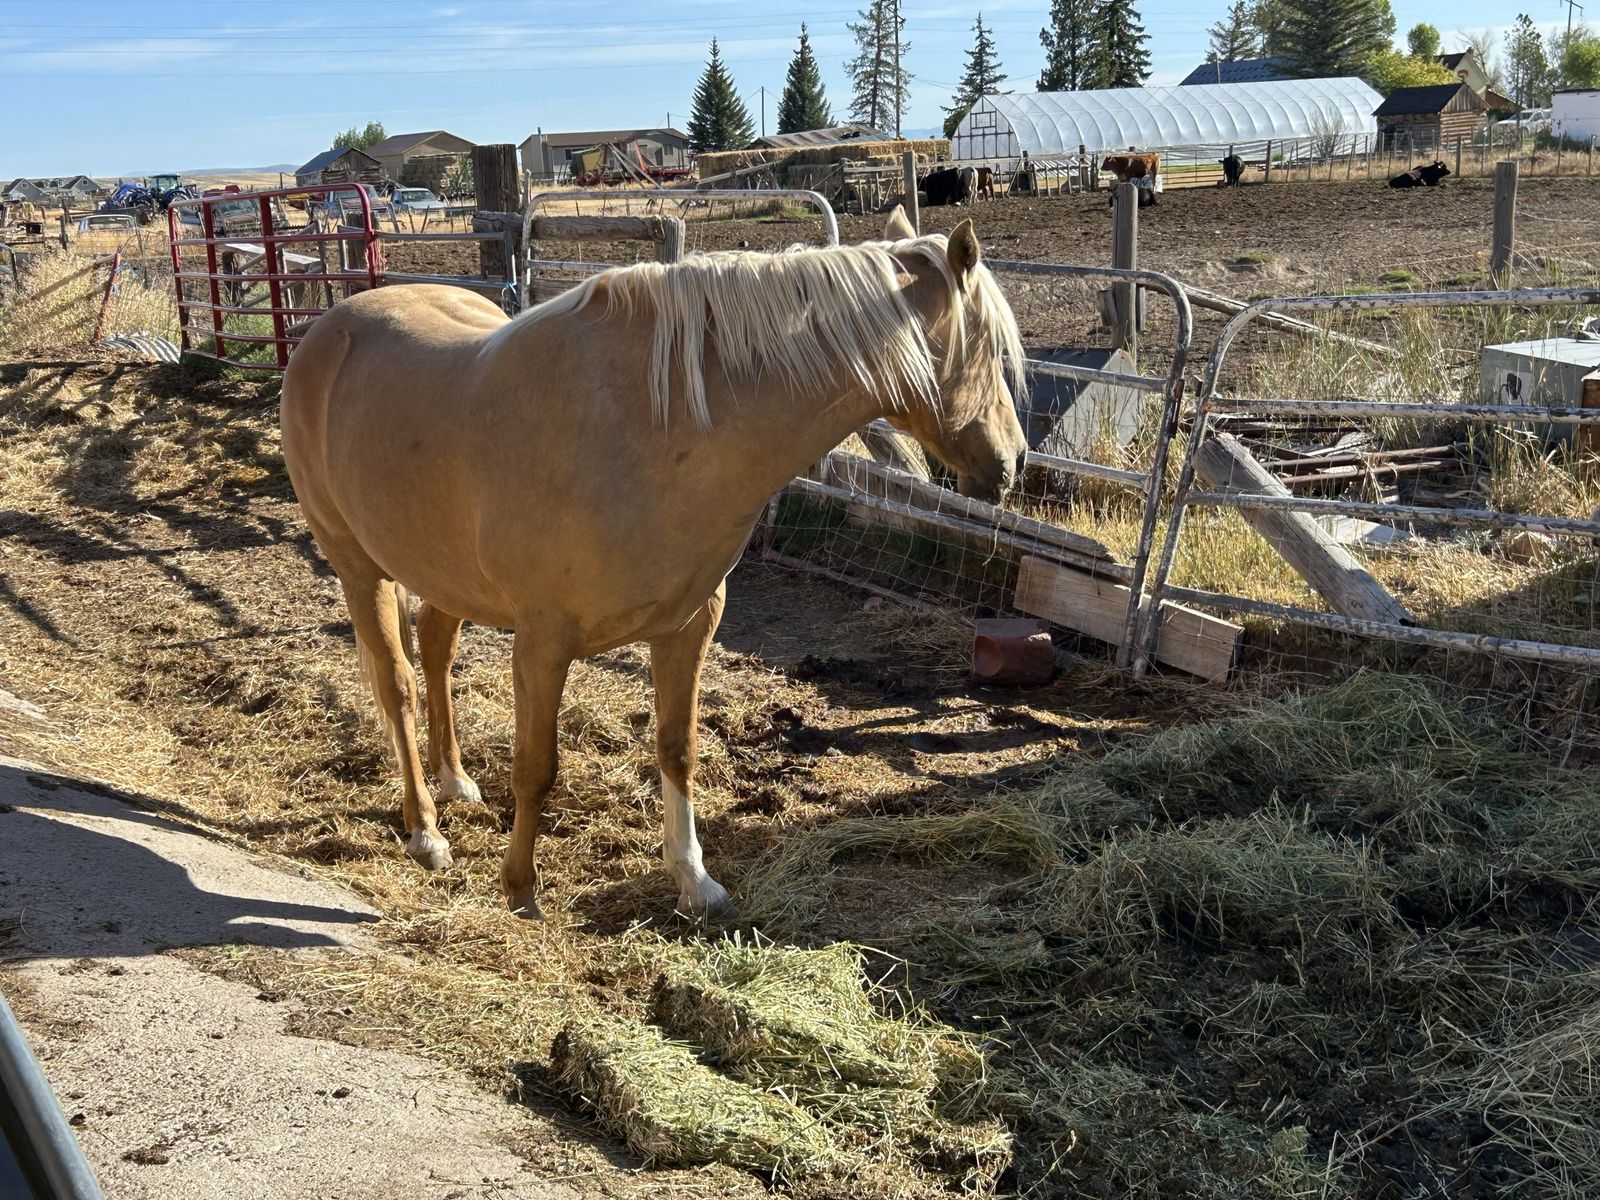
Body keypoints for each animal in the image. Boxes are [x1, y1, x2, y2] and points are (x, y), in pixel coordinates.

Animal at [279, 207, 1029, 922]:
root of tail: (326, 332)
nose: (1015, 462)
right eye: (991, 347)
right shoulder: (543, 641)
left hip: (444, 570)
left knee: (435, 651)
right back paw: (425, 829)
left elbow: (677, 748)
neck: (657, 428)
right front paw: (520, 888)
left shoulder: (688, 626)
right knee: (398, 684)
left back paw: (457, 782)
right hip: (358, 566)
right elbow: (535, 766)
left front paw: (694, 881)